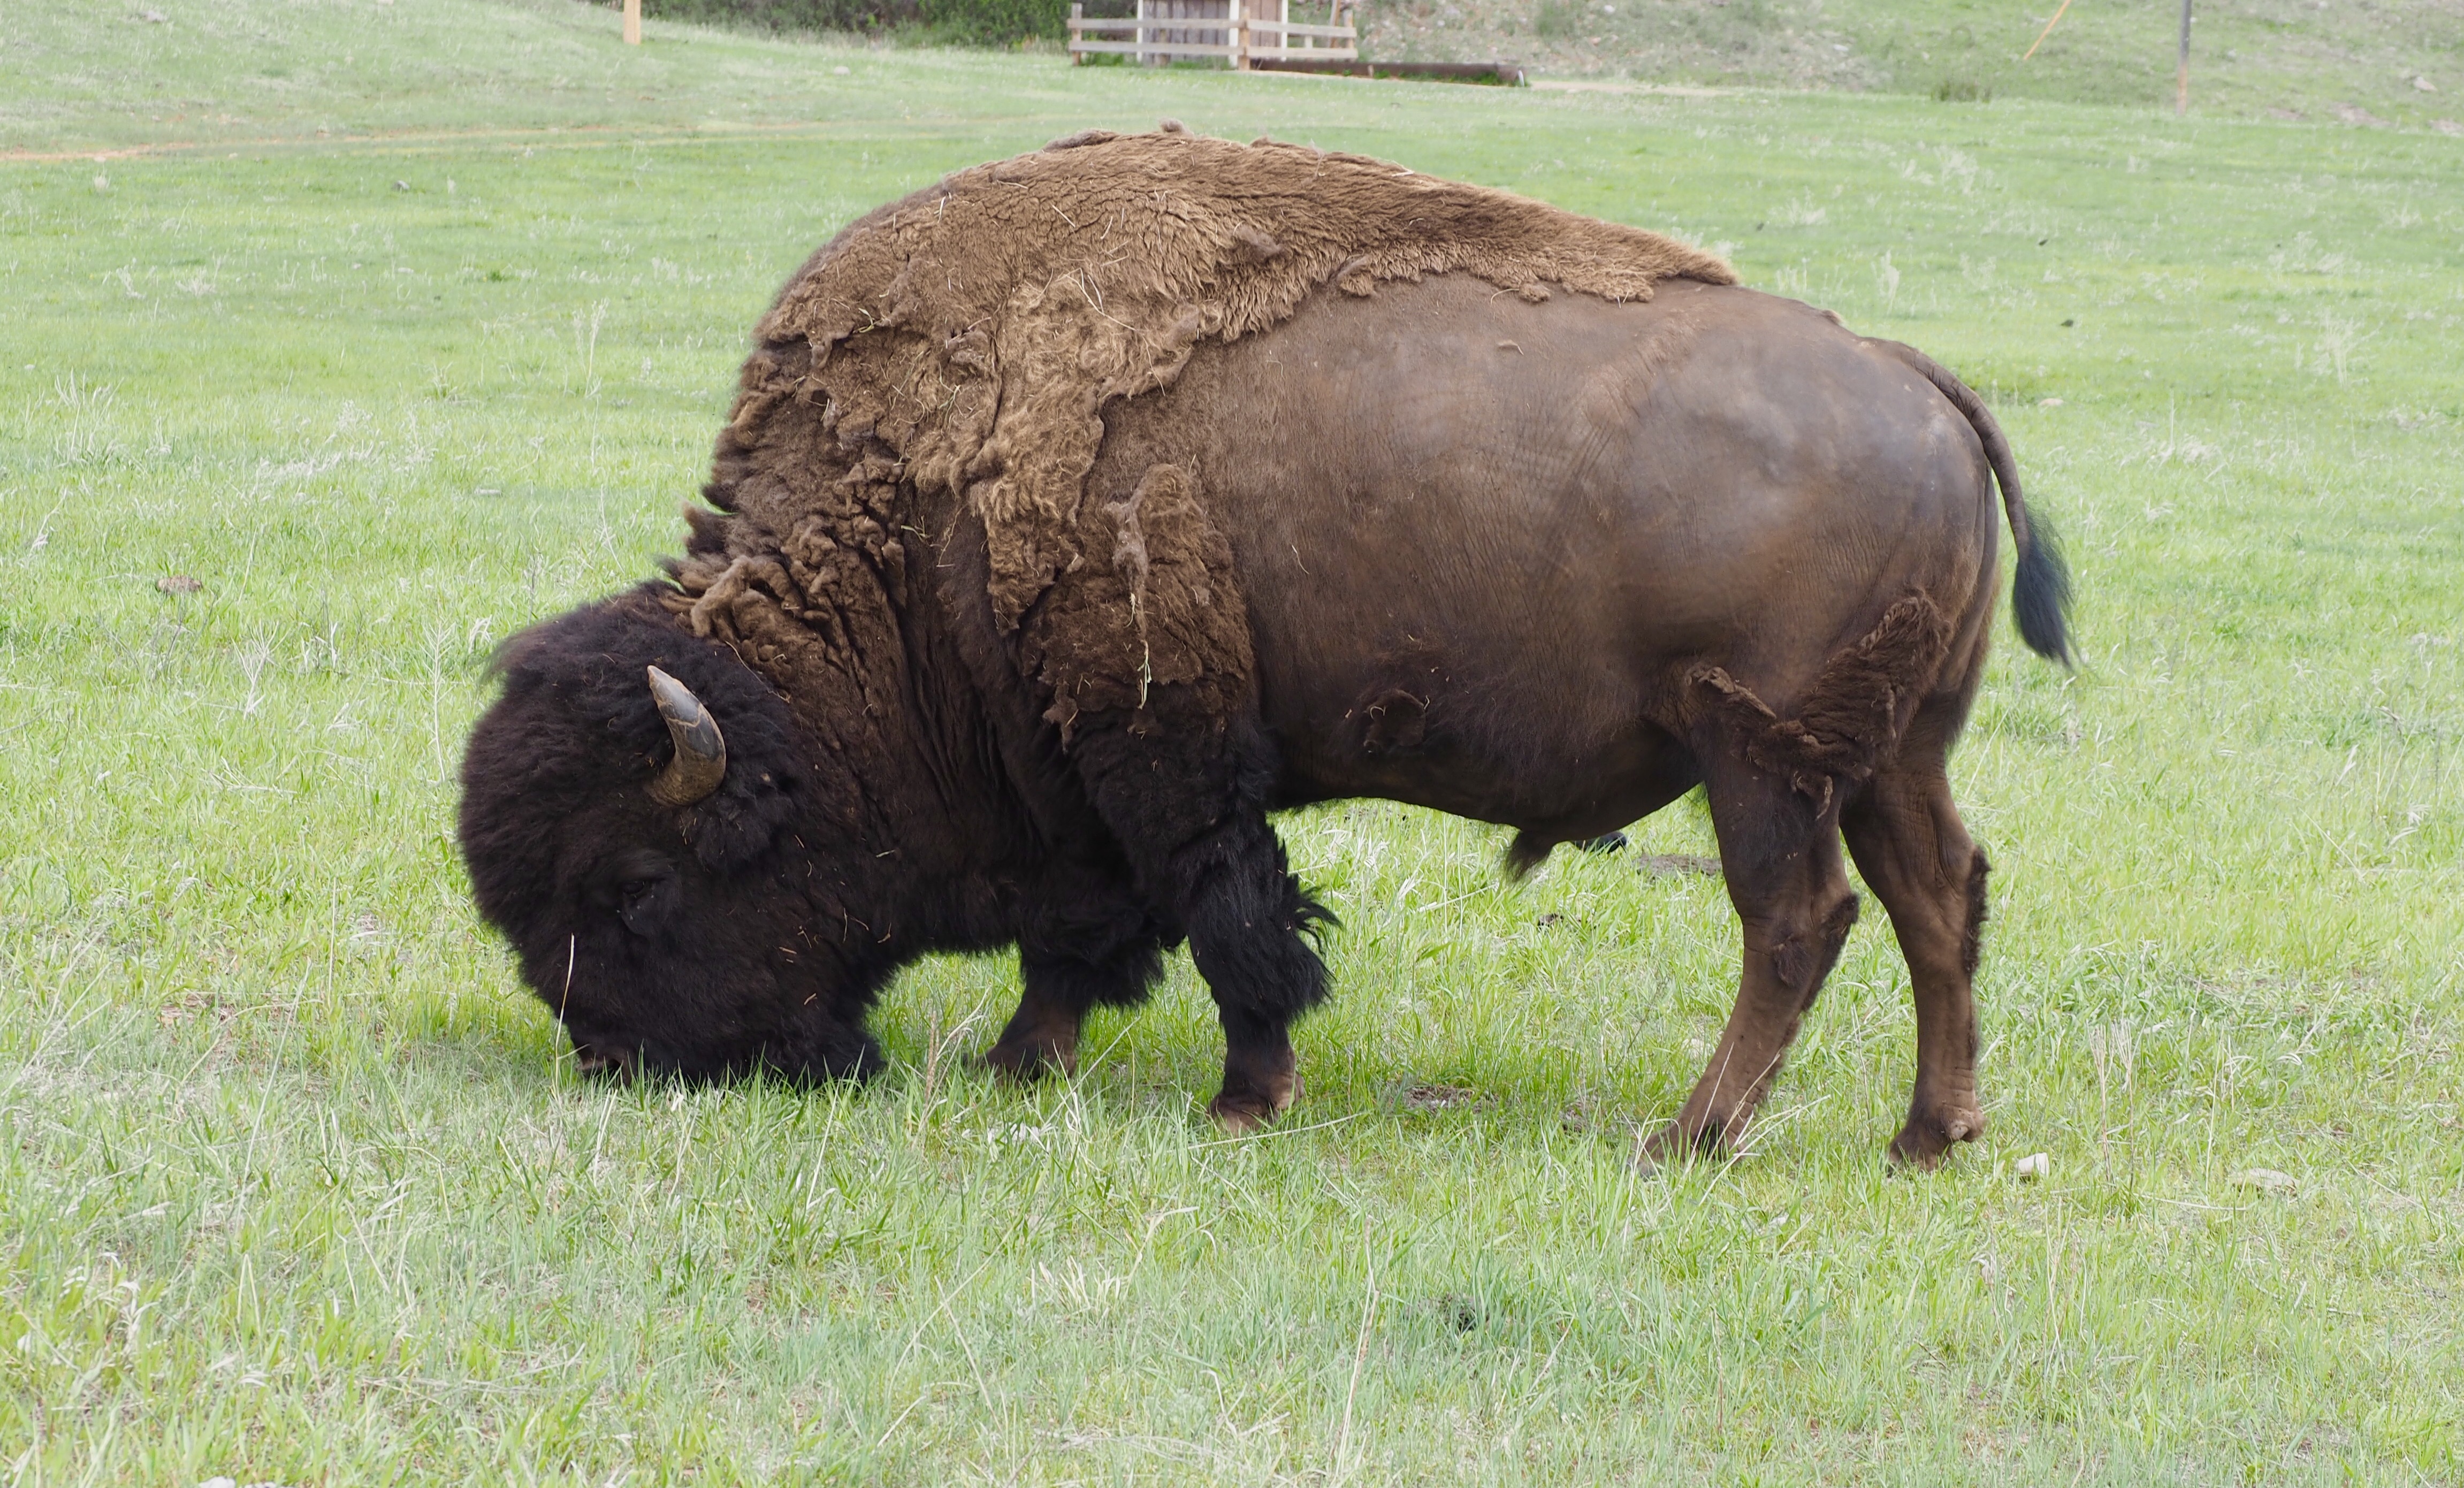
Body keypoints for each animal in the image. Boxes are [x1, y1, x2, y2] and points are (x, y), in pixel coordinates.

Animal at [460, 220, 2069, 1167]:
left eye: (637, 882)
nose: (612, 1055)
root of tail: (1916, 382)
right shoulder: (1076, 773)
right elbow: (1086, 931)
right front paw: (1019, 1061)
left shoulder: (1158, 746)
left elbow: (1229, 916)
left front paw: (1244, 1094)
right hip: (1894, 755)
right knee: (1938, 898)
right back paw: (1928, 1132)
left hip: (1762, 756)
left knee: (1797, 921)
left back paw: (1692, 1134)